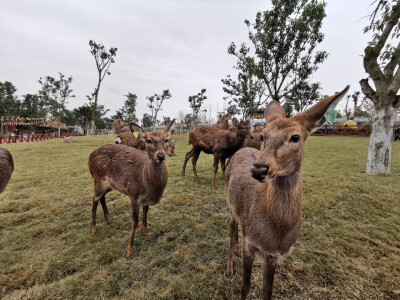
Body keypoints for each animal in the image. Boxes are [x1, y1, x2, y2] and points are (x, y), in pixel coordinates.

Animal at [88, 119, 176, 258]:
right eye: (148, 140)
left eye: (167, 139)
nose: (161, 156)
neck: (147, 183)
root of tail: (89, 157)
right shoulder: (134, 195)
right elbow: (134, 222)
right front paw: (129, 250)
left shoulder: (145, 198)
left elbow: (146, 212)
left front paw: (145, 231)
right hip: (98, 180)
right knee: (94, 199)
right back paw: (93, 229)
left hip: (110, 185)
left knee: (102, 197)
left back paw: (109, 219)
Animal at [227, 85, 348, 298]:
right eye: (263, 136)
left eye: (295, 137)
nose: (258, 170)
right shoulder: (249, 243)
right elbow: (245, 286)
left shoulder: (273, 255)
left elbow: (267, 291)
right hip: (231, 206)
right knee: (232, 232)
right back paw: (229, 269)